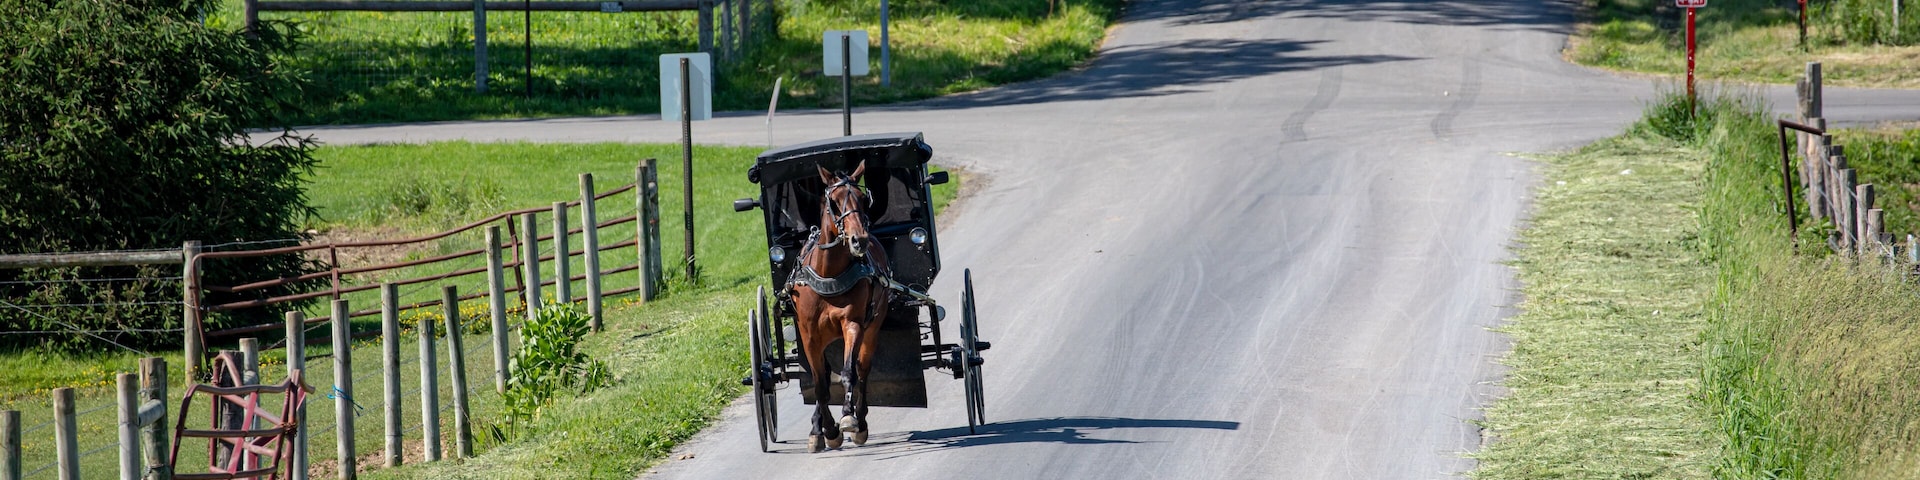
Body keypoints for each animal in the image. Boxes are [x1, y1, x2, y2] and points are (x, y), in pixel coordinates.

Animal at [789, 161, 892, 452]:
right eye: (833, 203)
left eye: (863, 199)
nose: (860, 240)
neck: (829, 274)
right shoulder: (809, 335)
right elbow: (820, 385)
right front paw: (826, 430)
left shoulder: (853, 324)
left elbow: (848, 373)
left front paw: (847, 418)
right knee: (823, 375)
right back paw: (819, 427)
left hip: (873, 327)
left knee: (863, 370)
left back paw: (861, 421)